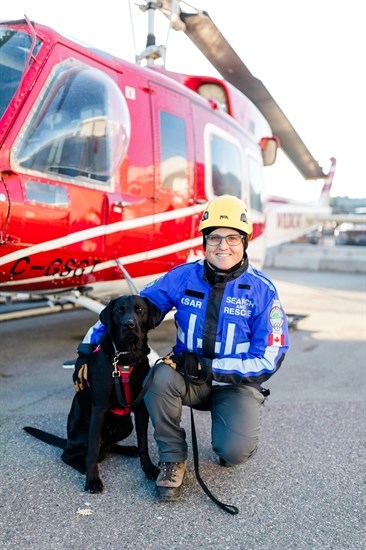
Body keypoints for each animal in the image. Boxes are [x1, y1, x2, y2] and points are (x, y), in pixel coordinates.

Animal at [23, 298, 160, 496]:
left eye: (140, 309)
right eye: (119, 311)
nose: (129, 324)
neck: (127, 357)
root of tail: (68, 441)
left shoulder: (141, 409)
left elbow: (143, 444)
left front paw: (148, 469)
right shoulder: (99, 409)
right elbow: (93, 450)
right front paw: (92, 480)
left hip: (126, 426)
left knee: (106, 447)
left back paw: (127, 449)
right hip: (82, 435)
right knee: (73, 454)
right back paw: (82, 466)